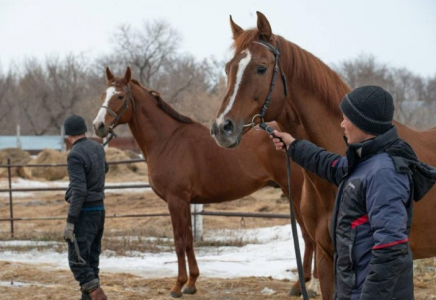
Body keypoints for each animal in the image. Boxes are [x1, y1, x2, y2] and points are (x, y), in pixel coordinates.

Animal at [93, 66, 316, 298]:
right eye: (103, 94)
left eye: (120, 96)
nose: (98, 126)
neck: (168, 140)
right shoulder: (185, 202)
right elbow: (189, 241)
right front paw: (191, 283)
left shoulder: (176, 200)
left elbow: (179, 242)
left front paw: (177, 286)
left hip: (296, 192)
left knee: (310, 236)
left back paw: (305, 286)